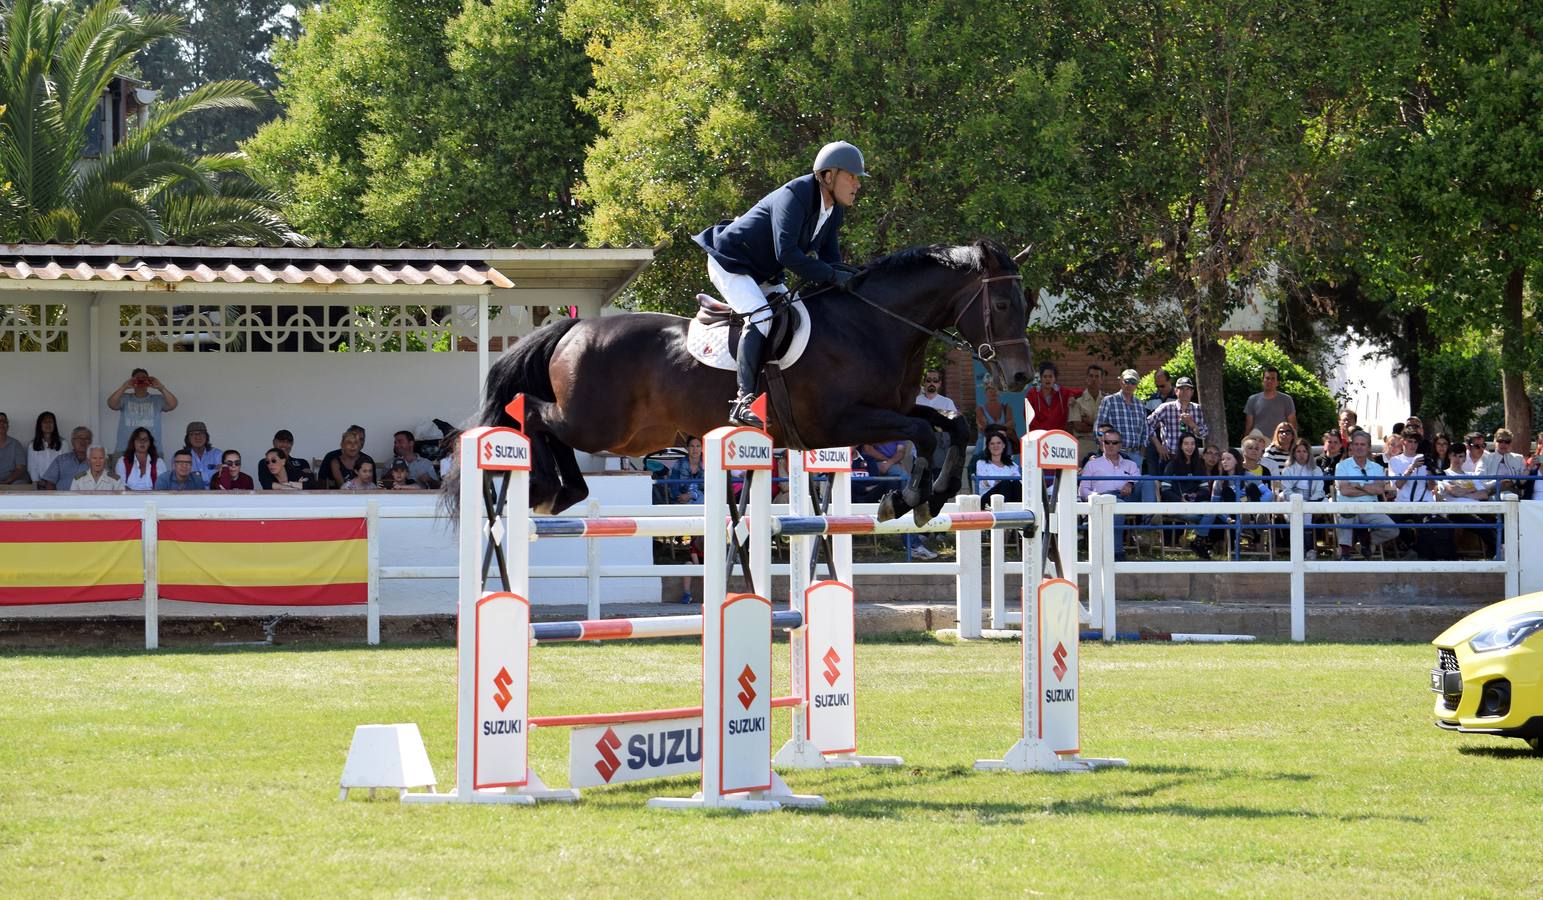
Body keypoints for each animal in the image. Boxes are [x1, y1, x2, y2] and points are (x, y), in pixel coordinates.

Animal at [456, 239, 1036, 524]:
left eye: (1028, 303)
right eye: (1005, 304)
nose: (1022, 376)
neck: (874, 324)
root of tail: (575, 326)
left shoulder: (895, 406)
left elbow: (954, 427)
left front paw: (936, 497)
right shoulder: (841, 422)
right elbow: (922, 435)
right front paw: (908, 499)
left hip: (633, 435)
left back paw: (561, 491)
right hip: (597, 423)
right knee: (531, 412)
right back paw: (548, 488)